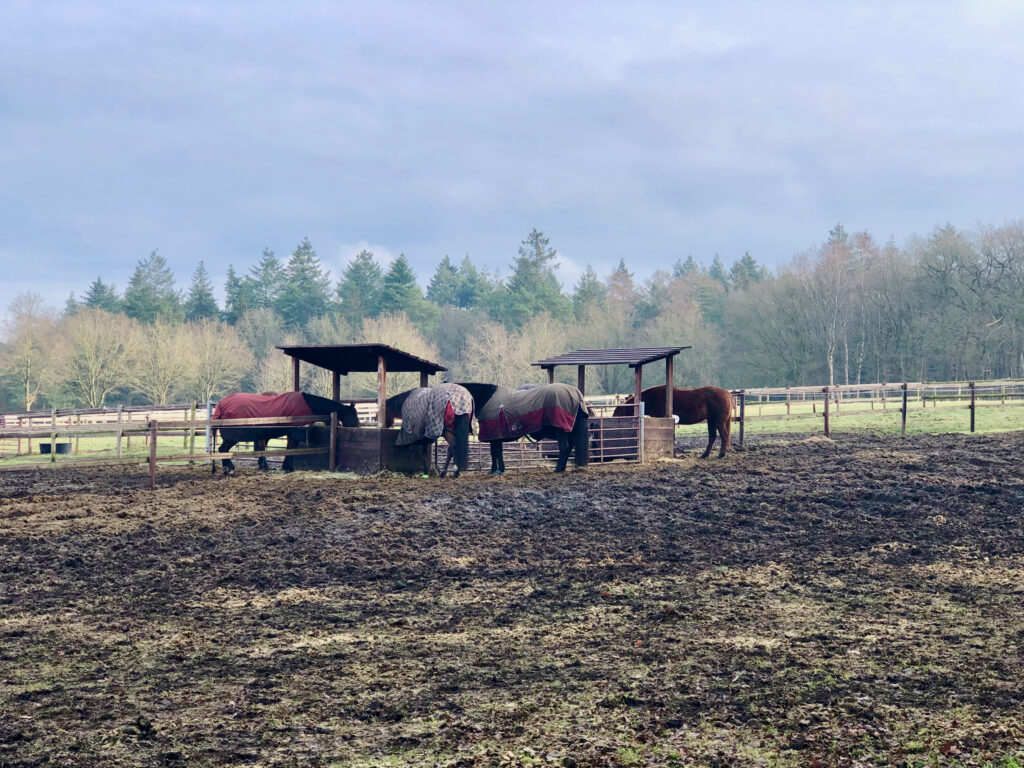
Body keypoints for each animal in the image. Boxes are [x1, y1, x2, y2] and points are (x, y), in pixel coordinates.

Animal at [211, 391, 360, 475]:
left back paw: (227, 469)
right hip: (232, 438)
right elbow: (292, 449)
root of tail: (221, 405)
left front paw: (286, 467)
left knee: (222, 450)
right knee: (223, 450)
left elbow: (290, 449)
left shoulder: (291, 433)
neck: (307, 405)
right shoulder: (295, 432)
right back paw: (230, 469)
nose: (358, 427)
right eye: (354, 415)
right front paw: (288, 467)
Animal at [458, 382, 593, 475]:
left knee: (564, 446)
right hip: (568, 429)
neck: (488, 399)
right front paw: (496, 469)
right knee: (570, 445)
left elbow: (496, 452)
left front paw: (497, 470)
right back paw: (562, 468)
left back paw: (558, 468)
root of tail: (576, 395)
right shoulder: (495, 437)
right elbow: (495, 452)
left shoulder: (494, 435)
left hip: (560, 429)